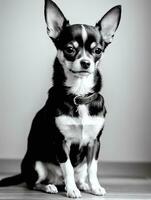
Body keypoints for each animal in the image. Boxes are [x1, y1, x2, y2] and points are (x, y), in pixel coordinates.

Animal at [0, 0, 121, 197]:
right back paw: (50, 186)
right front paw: (72, 191)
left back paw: (83, 185)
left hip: (81, 163)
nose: (86, 62)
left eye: (97, 50)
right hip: (36, 165)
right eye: (70, 49)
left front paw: (95, 187)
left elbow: (93, 168)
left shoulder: (94, 143)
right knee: (33, 183)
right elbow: (68, 168)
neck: (79, 94)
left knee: (82, 172)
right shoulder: (61, 142)